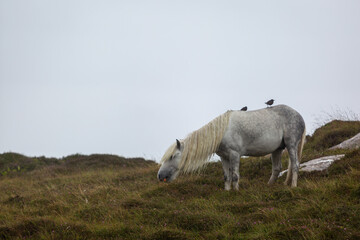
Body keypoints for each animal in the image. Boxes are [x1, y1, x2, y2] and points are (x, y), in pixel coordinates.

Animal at [156, 104, 306, 190]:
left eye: (173, 156)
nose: (160, 176)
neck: (221, 132)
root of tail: (299, 115)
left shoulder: (234, 154)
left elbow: (235, 175)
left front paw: (236, 192)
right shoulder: (224, 157)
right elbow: (226, 176)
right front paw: (227, 192)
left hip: (291, 144)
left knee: (295, 165)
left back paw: (293, 186)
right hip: (277, 150)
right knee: (277, 168)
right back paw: (269, 186)